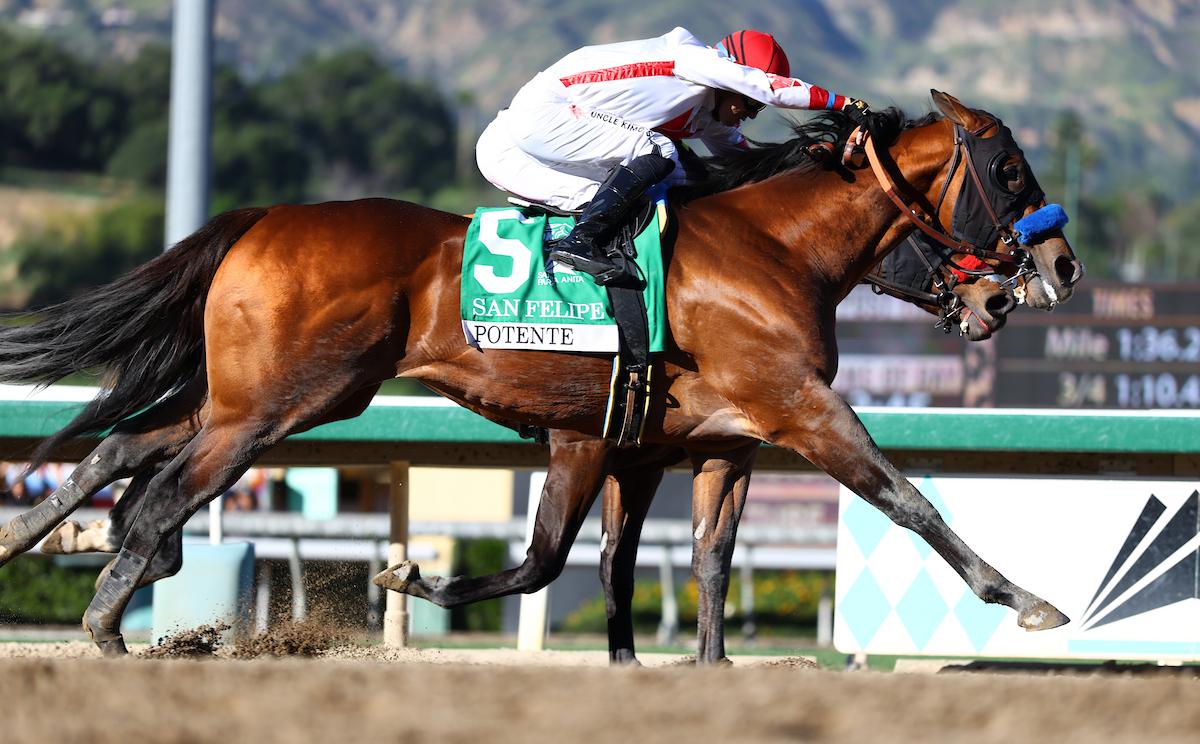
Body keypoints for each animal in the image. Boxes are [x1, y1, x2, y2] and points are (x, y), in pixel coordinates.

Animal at [0, 91, 1081, 656]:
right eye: (1010, 172)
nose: (1053, 272)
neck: (774, 251)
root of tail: (262, 216)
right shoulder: (799, 412)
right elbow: (908, 499)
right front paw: (1025, 598)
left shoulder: (688, 446)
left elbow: (670, 561)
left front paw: (690, 662)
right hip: (275, 405)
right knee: (161, 489)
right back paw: (107, 615)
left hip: (261, 396)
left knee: (128, 448)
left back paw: (40, 542)